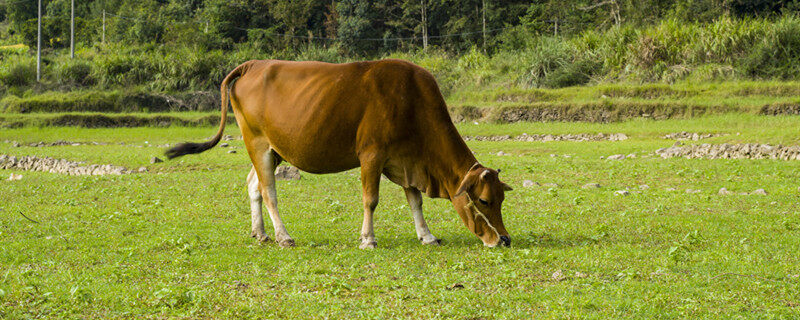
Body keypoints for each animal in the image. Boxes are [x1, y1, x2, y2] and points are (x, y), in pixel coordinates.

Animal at [165, 58, 512, 249]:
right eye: (484, 200)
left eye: (501, 198)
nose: (504, 240)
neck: (411, 101)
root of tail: (253, 65)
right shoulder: (372, 155)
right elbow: (371, 200)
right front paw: (368, 239)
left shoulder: (406, 160)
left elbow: (415, 201)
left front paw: (427, 236)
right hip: (257, 143)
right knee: (269, 191)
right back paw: (283, 236)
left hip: (274, 149)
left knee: (253, 185)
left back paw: (260, 233)